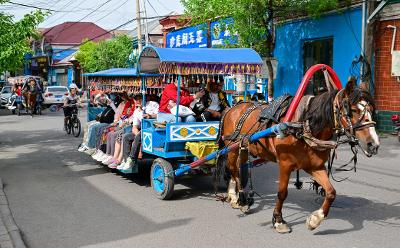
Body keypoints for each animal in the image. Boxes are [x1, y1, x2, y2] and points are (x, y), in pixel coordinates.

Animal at [220, 80, 380, 233]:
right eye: (353, 110)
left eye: (371, 110)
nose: (374, 145)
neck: (302, 127)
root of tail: (232, 108)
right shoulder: (285, 164)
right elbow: (282, 193)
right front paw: (279, 221)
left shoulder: (314, 166)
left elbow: (331, 192)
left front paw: (315, 219)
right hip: (231, 148)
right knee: (232, 169)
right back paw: (238, 198)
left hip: (243, 147)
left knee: (238, 169)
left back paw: (236, 196)